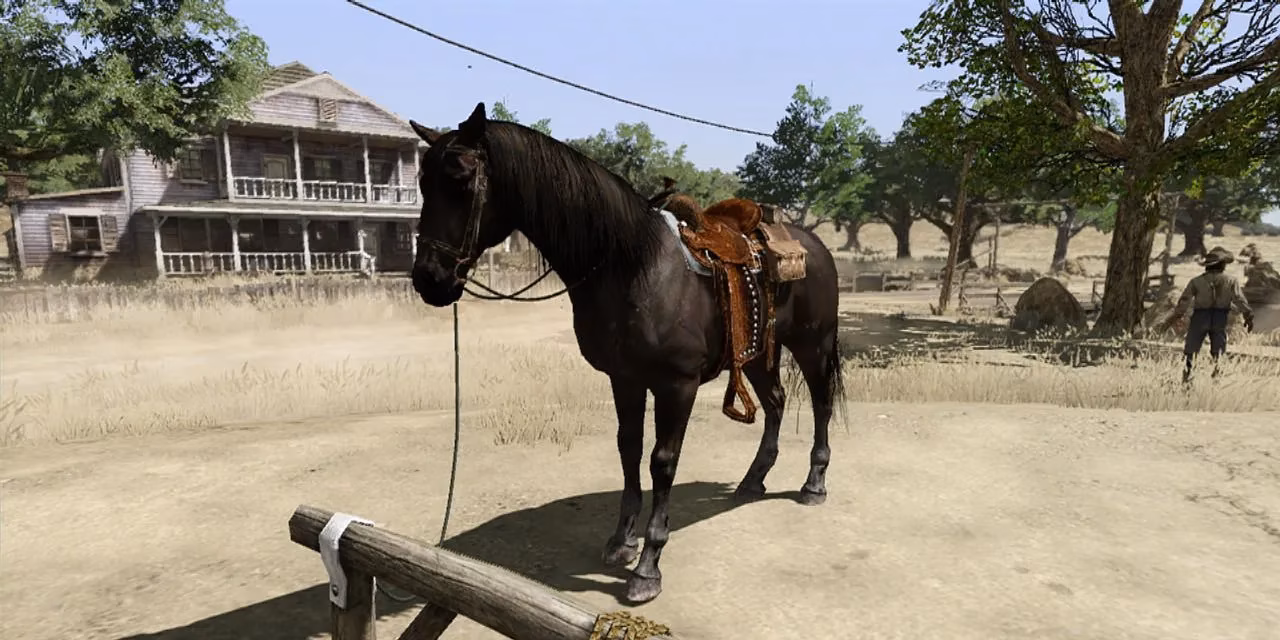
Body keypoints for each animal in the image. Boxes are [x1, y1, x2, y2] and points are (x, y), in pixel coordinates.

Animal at [407, 102, 846, 604]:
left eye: (461, 180)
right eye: (422, 182)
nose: (429, 279)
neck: (634, 267)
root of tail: (815, 245)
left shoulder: (677, 385)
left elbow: (662, 461)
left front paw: (647, 566)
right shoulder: (625, 378)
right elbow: (628, 449)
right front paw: (621, 541)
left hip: (813, 345)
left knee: (820, 404)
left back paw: (814, 483)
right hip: (754, 355)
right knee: (775, 402)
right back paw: (753, 481)